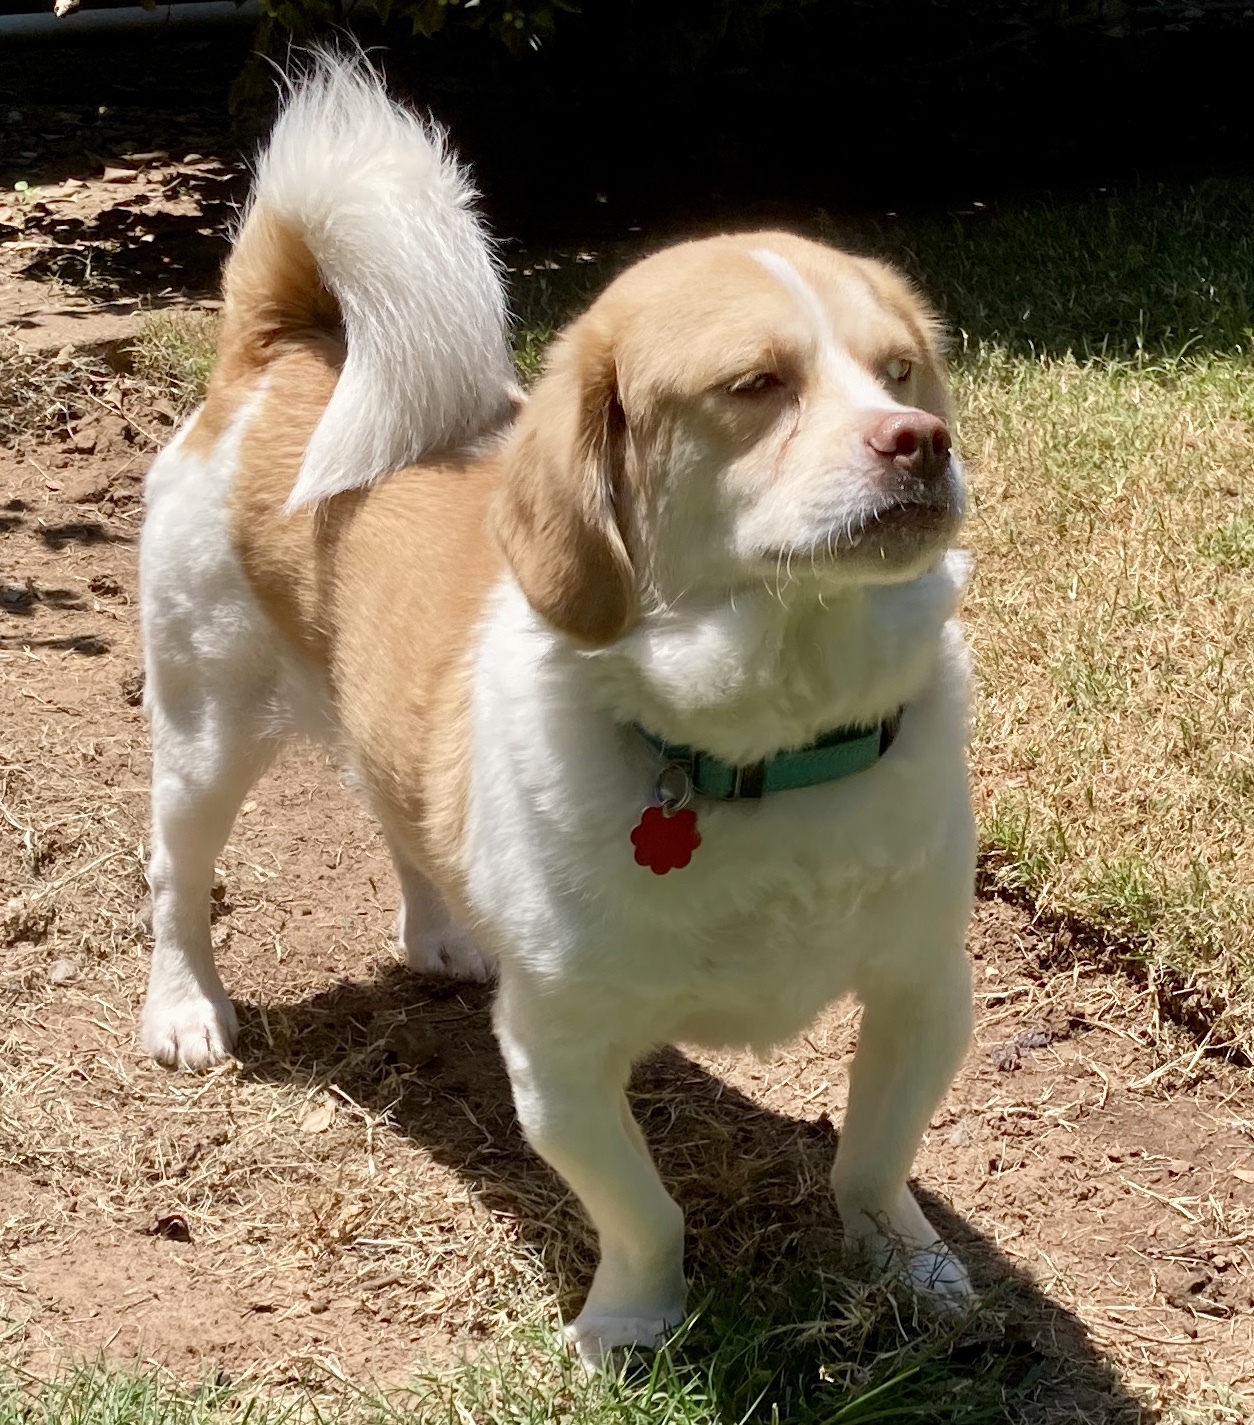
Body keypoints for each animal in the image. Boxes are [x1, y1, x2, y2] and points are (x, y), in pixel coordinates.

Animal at [139, 55, 980, 1368]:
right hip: (204, 731)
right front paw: (631, 1324)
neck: (769, 738)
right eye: (756, 386)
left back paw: (442, 933)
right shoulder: (562, 1058)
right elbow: (644, 1211)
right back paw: (184, 1008)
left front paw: (911, 1266)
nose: (923, 442)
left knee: (401, 817)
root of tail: (279, 349)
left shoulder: (924, 992)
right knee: (176, 875)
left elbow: (876, 1158)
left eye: (901, 372)